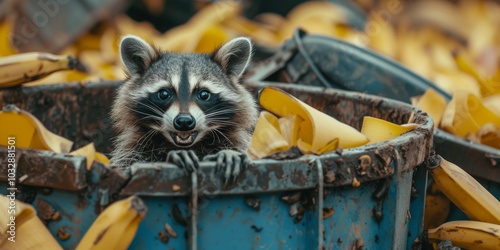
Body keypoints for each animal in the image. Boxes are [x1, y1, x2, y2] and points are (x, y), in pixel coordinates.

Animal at [112, 34, 260, 182]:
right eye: (164, 94)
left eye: (204, 94)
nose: (184, 121)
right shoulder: (135, 147)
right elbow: (129, 164)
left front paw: (227, 154)